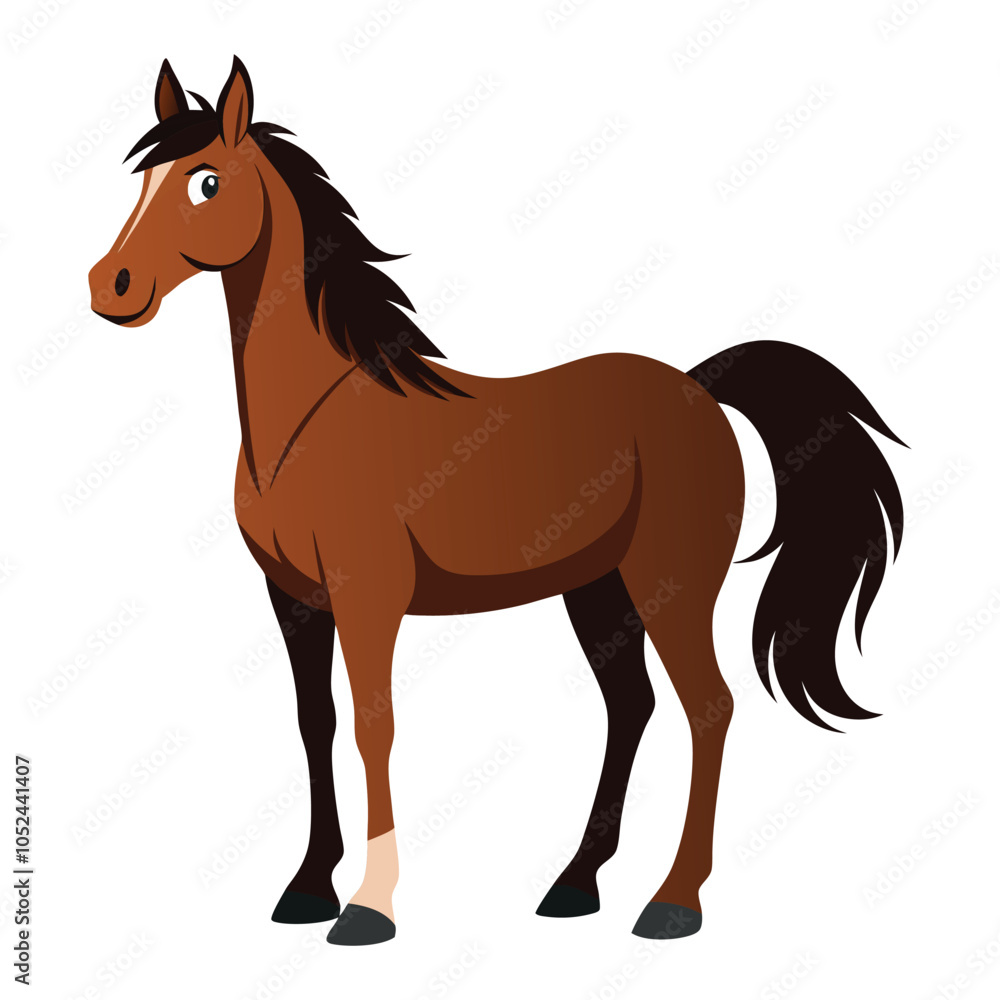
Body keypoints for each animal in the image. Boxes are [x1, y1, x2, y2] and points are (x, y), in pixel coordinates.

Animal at [89, 57, 906, 946]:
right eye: (142, 180)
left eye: (206, 180)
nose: (110, 286)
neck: (317, 420)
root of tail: (696, 387)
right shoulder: (293, 599)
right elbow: (317, 724)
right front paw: (307, 888)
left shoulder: (369, 597)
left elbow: (374, 724)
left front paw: (369, 907)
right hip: (598, 589)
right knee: (633, 707)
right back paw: (575, 883)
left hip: (671, 585)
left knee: (708, 709)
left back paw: (673, 902)